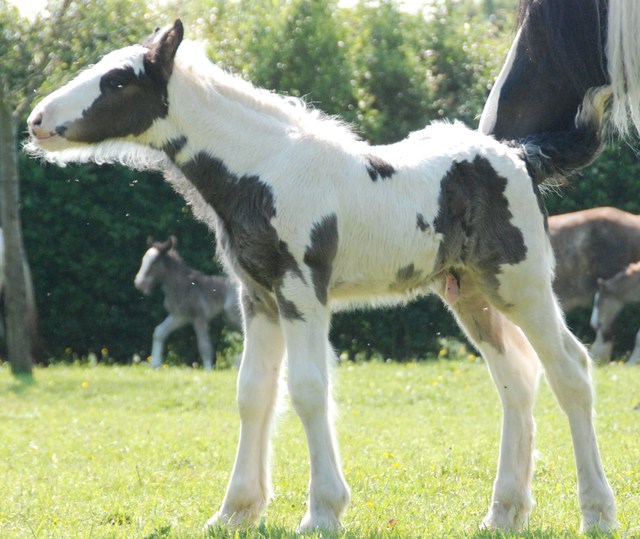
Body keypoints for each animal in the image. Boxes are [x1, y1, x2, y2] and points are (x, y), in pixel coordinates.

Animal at [27, 21, 616, 536]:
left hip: (522, 284)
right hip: (469, 291)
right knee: (516, 377)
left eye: (116, 80)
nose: (36, 119)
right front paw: (235, 511)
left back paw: (597, 513)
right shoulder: (257, 295)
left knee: (571, 369)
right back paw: (504, 513)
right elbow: (252, 392)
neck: (263, 168)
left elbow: (308, 388)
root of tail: (521, 156)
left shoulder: (300, 290)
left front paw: (322, 513)